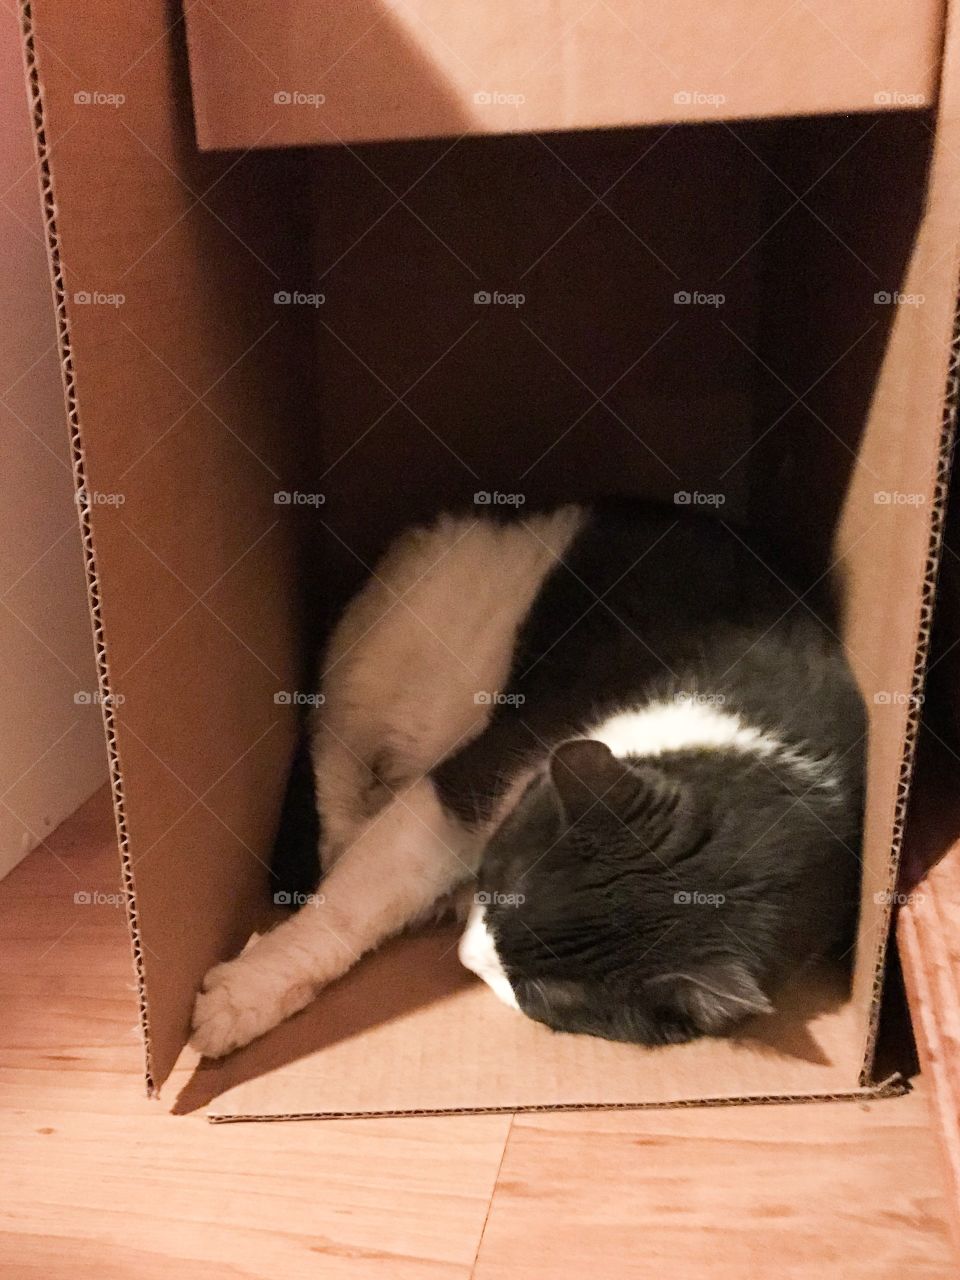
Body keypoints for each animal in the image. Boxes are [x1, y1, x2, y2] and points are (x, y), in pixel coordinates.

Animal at [192, 499, 870, 1059]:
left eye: (540, 992)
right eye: (500, 880)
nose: (467, 956)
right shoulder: (469, 779)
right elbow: (351, 906)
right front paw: (245, 994)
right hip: (383, 657)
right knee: (330, 749)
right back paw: (344, 831)